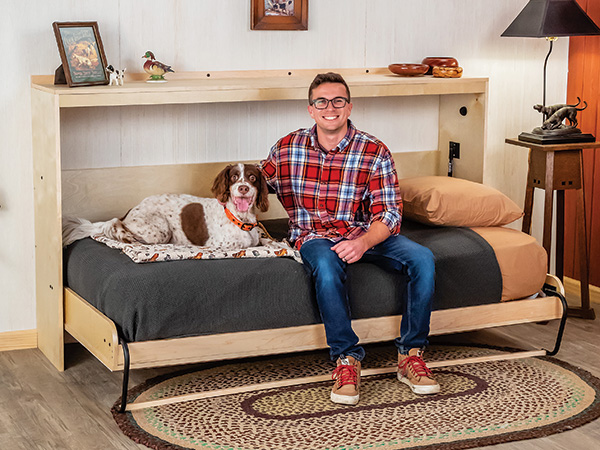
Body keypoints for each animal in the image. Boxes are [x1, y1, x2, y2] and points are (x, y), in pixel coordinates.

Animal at [62, 164, 268, 250]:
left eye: (252, 178)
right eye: (234, 177)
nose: (243, 188)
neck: (241, 219)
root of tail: (131, 210)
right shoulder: (218, 244)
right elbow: (242, 244)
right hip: (159, 230)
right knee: (115, 224)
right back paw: (126, 236)